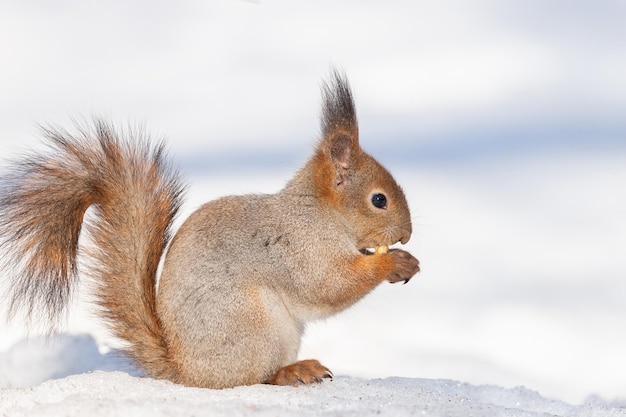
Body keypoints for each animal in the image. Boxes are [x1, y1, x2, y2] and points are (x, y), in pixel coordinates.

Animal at [1, 70, 420, 386]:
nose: (407, 234)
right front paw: (394, 262)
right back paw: (292, 372)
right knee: (250, 377)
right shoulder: (299, 247)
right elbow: (327, 286)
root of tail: (185, 371)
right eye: (378, 200)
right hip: (252, 325)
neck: (319, 213)